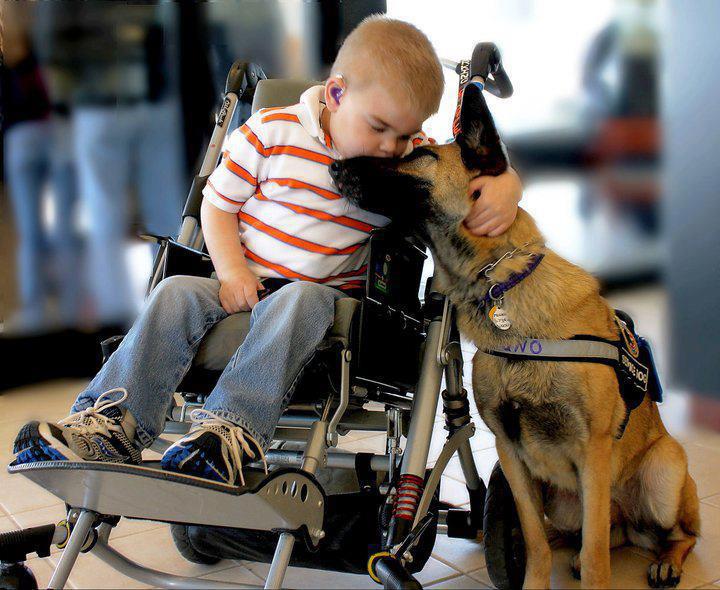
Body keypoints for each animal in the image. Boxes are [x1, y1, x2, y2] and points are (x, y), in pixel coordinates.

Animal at [330, 84, 696, 590]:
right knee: (589, 534)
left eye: (419, 154)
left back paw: (665, 561)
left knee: (674, 534)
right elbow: (535, 541)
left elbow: (598, 557)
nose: (334, 165)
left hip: (663, 475)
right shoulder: (511, 453)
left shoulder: (593, 452)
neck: (498, 284)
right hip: (564, 502)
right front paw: (531, 577)